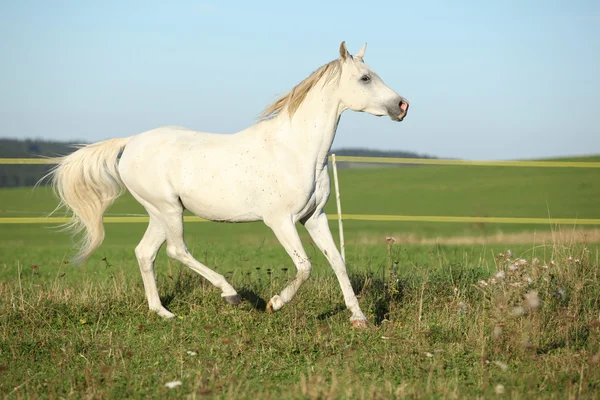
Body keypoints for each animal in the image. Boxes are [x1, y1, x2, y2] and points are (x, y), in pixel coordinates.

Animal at [50, 42, 408, 326]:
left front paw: (360, 318)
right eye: (365, 78)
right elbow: (305, 266)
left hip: (160, 213)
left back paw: (163, 313)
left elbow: (338, 263)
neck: (296, 149)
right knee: (176, 250)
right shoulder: (281, 221)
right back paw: (231, 294)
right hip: (168, 210)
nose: (402, 106)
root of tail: (130, 143)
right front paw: (274, 303)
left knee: (145, 253)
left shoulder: (314, 217)